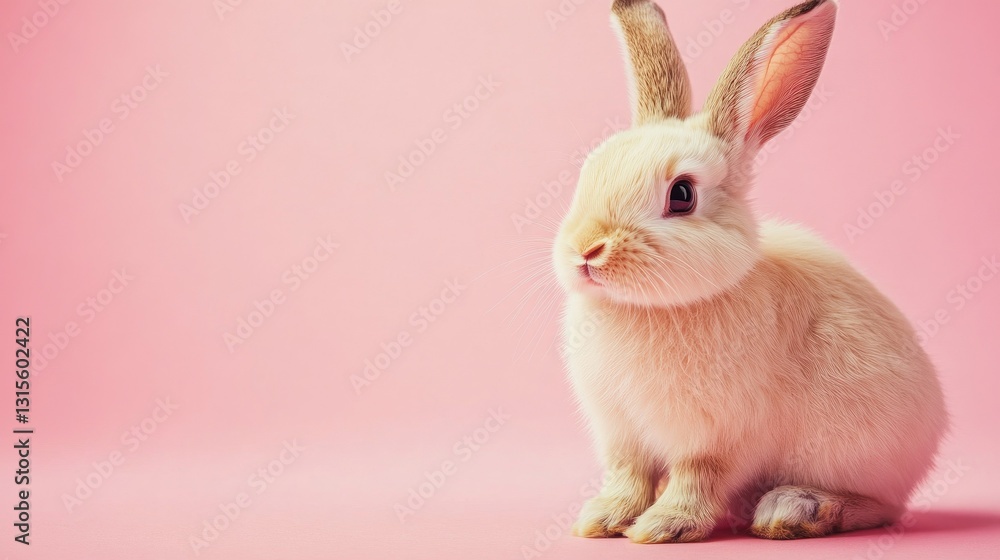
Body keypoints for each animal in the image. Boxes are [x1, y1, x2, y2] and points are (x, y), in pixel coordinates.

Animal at [552, 0, 948, 543]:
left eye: (682, 195)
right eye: (589, 172)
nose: (587, 251)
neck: (650, 308)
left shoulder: (718, 437)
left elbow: (696, 478)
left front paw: (664, 527)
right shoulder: (623, 433)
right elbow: (627, 475)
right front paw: (601, 519)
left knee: (882, 507)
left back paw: (796, 509)